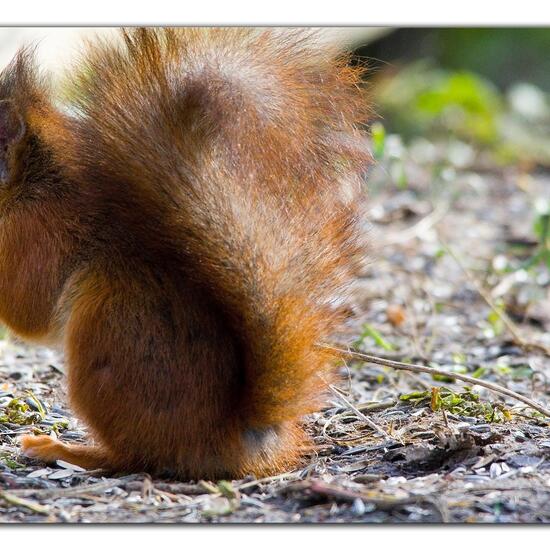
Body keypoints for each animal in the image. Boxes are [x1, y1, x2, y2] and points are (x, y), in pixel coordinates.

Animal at [0, 28, 374, 480]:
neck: (34, 176)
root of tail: (226, 439)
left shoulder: (39, 231)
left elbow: (27, 309)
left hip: (110, 344)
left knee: (135, 457)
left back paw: (65, 450)